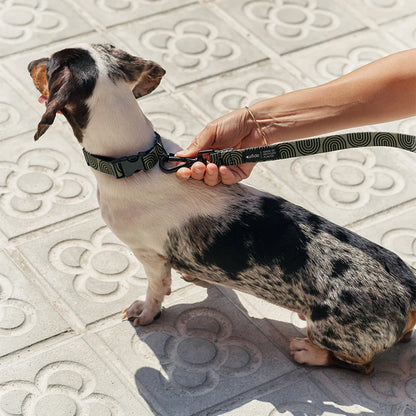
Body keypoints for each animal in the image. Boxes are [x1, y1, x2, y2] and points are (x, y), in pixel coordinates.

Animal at [29, 44, 416, 374]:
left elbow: (156, 289)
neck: (135, 161)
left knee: (360, 364)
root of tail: (411, 291)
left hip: (328, 329)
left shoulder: (148, 255)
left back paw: (308, 352)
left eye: (50, 63)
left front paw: (146, 312)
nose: (29, 62)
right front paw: (192, 274)